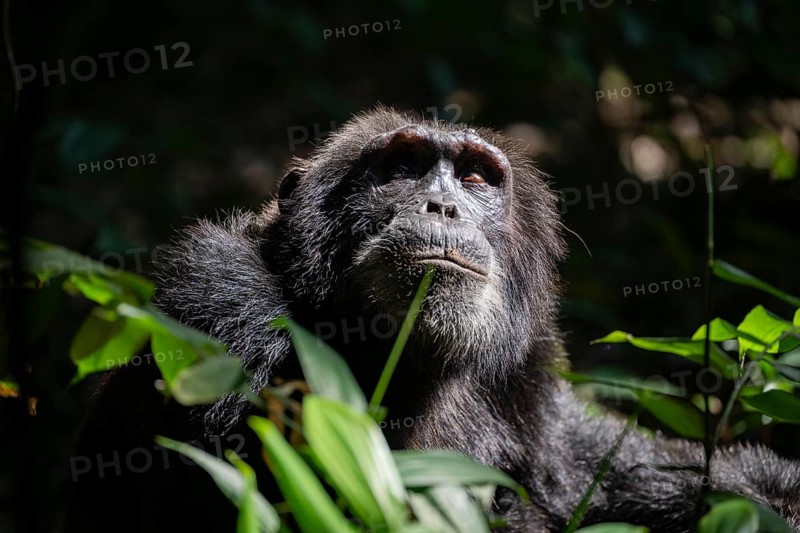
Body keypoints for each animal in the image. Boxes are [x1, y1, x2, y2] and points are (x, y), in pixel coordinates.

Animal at [67, 107, 800, 532]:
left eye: (475, 178)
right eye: (401, 165)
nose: (442, 205)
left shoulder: (529, 374)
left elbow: (599, 466)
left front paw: (765, 498)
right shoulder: (219, 307)